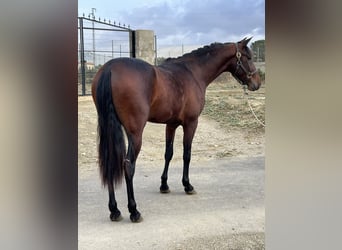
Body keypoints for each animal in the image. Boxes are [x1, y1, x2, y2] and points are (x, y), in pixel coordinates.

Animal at [92, 37, 260, 223]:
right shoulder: (191, 123)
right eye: (249, 57)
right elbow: (187, 154)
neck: (194, 73)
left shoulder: (171, 124)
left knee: (110, 162)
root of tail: (110, 68)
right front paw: (187, 185)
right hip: (135, 134)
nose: (257, 83)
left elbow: (168, 154)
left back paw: (114, 210)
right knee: (128, 166)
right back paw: (134, 211)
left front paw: (164, 185)